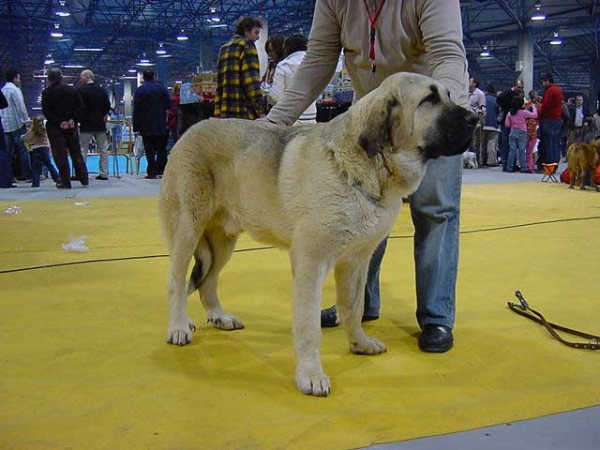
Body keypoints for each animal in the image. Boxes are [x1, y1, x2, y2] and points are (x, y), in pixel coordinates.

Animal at [159, 72, 478, 396]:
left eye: (448, 95)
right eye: (430, 99)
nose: (475, 118)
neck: (363, 169)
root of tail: (189, 131)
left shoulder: (356, 260)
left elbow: (353, 306)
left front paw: (359, 343)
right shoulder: (311, 262)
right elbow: (308, 324)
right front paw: (310, 374)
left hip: (223, 241)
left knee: (208, 282)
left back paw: (219, 316)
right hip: (188, 229)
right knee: (176, 281)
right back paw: (178, 326)